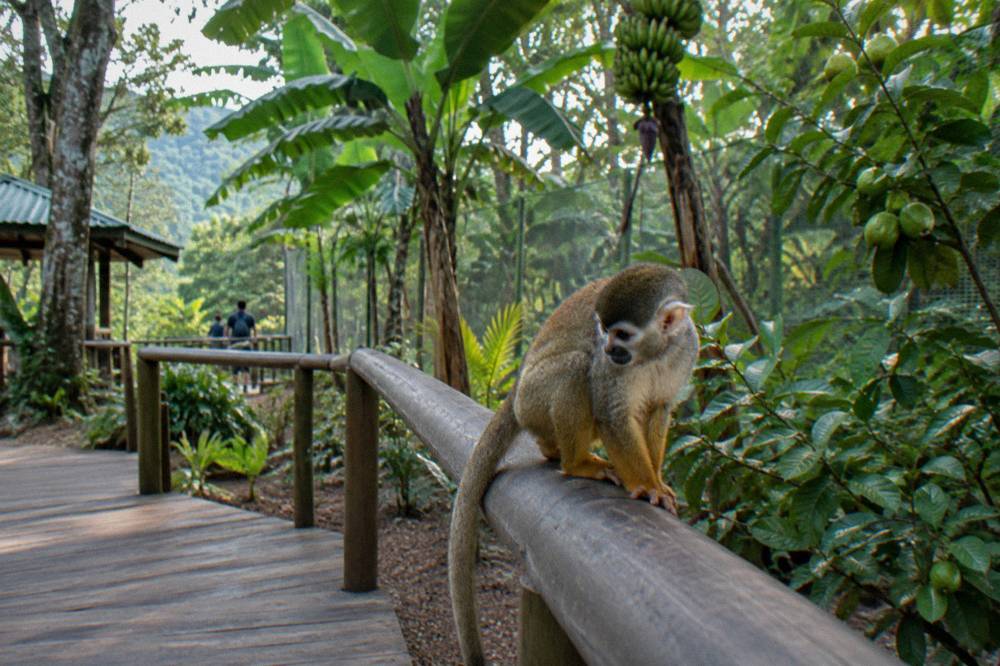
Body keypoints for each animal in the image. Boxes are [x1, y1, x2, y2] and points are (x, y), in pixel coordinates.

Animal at [448, 263, 699, 666]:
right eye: (603, 330)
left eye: (622, 334)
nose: (608, 349)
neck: (655, 353)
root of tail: (515, 393)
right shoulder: (609, 369)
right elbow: (612, 414)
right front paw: (646, 485)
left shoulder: (686, 349)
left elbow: (659, 409)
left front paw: (658, 483)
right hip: (533, 398)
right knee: (578, 365)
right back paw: (575, 462)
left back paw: (555, 451)